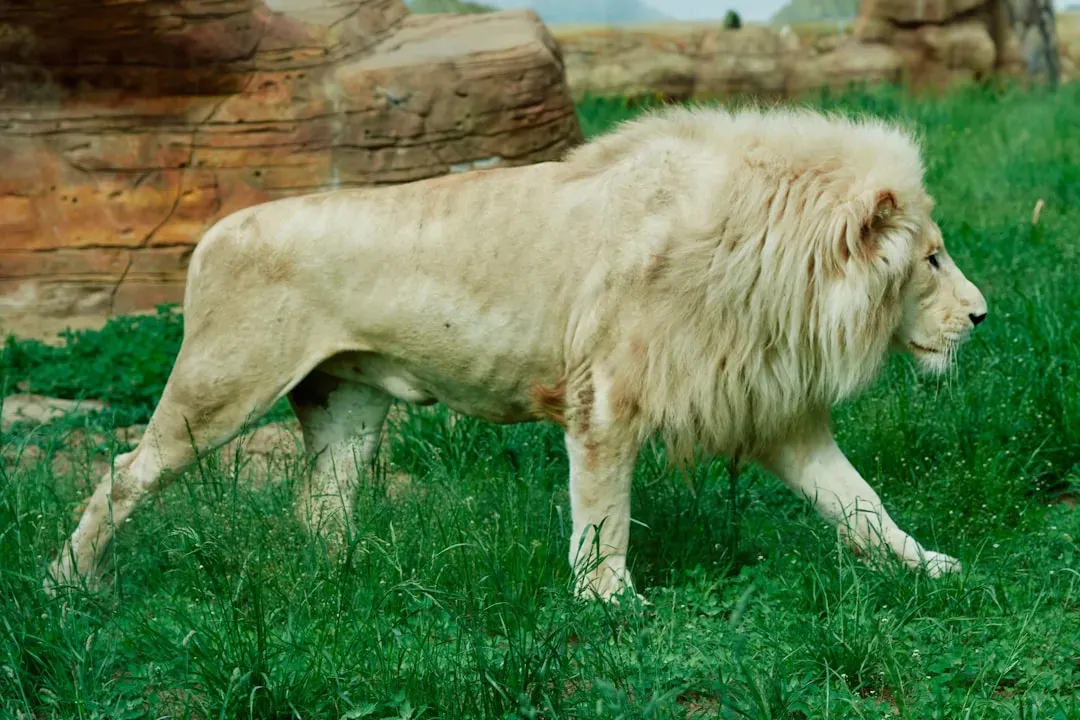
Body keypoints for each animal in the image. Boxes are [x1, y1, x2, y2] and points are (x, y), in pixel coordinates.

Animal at [46, 104, 988, 600]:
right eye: (933, 260)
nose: (983, 316)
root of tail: (213, 231)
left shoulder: (774, 413)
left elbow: (860, 503)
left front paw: (934, 566)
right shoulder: (605, 400)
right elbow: (604, 514)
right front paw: (610, 603)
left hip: (345, 410)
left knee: (318, 510)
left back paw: (343, 590)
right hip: (220, 387)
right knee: (125, 471)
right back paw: (69, 584)